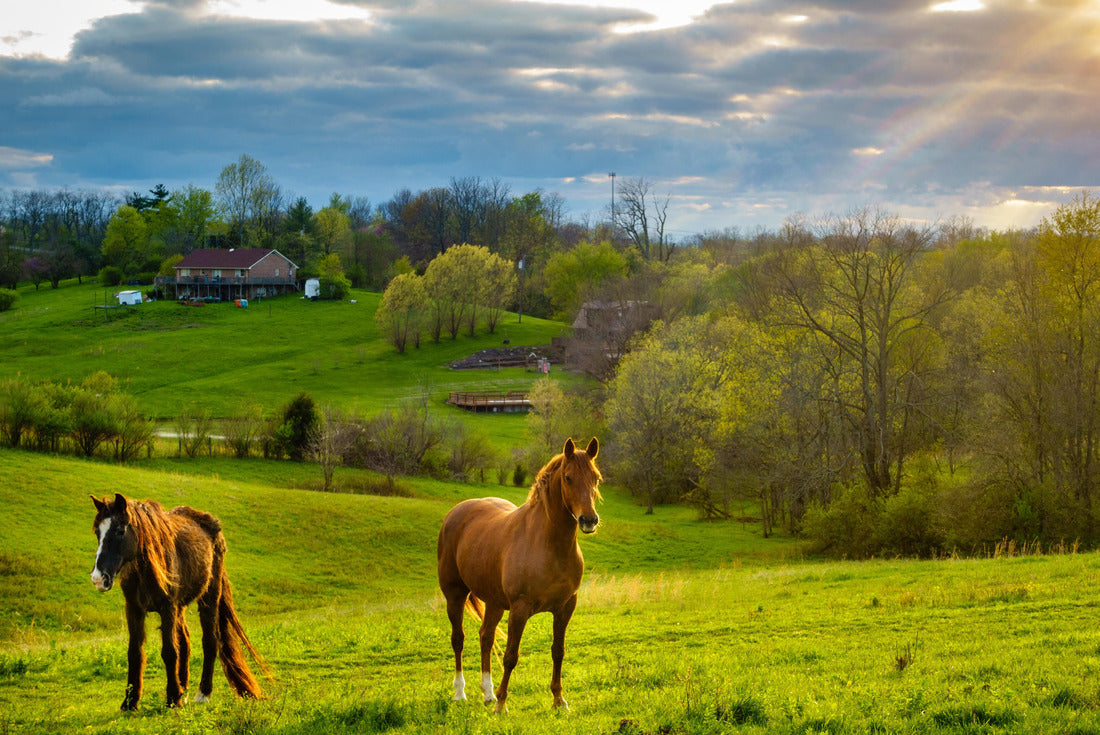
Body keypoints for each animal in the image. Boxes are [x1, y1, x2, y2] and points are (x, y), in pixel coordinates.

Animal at [89, 493, 270, 710]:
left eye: (120, 530)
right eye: (98, 532)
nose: (99, 579)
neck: (146, 569)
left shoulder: (167, 607)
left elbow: (169, 652)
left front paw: (172, 698)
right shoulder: (134, 609)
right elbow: (135, 653)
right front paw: (130, 702)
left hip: (209, 597)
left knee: (210, 641)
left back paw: (203, 693)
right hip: (181, 606)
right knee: (185, 640)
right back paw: (184, 687)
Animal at [437, 437, 602, 713]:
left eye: (596, 478)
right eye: (568, 477)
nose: (588, 520)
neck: (548, 544)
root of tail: (455, 513)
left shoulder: (565, 607)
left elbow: (558, 651)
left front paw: (559, 700)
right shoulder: (520, 609)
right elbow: (511, 656)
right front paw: (502, 705)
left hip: (494, 603)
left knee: (486, 636)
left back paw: (488, 694)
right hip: (455, 596)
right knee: (458, 639)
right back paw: (461, 693)